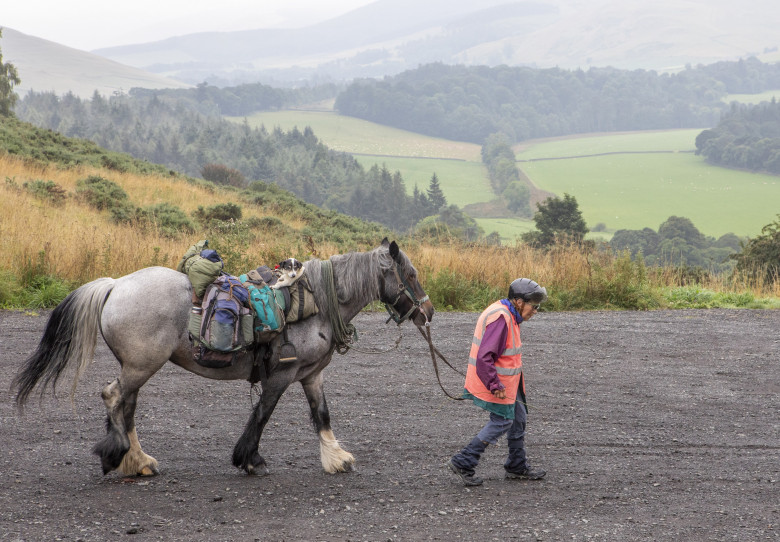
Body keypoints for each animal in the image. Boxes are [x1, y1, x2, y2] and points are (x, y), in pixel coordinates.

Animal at [10, 240, 432, 478]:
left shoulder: (312, 375)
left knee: (125, 406)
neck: (316, 304)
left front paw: (336, 458)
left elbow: (321, 415)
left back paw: (139, 460)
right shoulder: (282, 375)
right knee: (114, 398)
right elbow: (262, 414)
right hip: (141, 365)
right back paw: (117, 455)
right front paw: (250, 459)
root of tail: (115, 285)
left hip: (138, 367)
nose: (428, 312)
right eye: (410, 274)